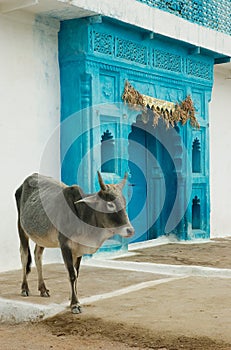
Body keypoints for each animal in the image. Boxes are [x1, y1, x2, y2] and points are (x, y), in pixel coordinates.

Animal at [14, 174, 134, 314]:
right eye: (110, 204)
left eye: (124, 203)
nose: (130, 230)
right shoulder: (65, 245)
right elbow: (72, 275)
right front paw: (75, 304)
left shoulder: (78, 249)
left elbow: (77, 273)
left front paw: (73, 299)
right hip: (21, 228)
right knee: (24, 256)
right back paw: (24, 288)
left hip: (41, 237)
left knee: (37, 255)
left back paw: (43, 289)